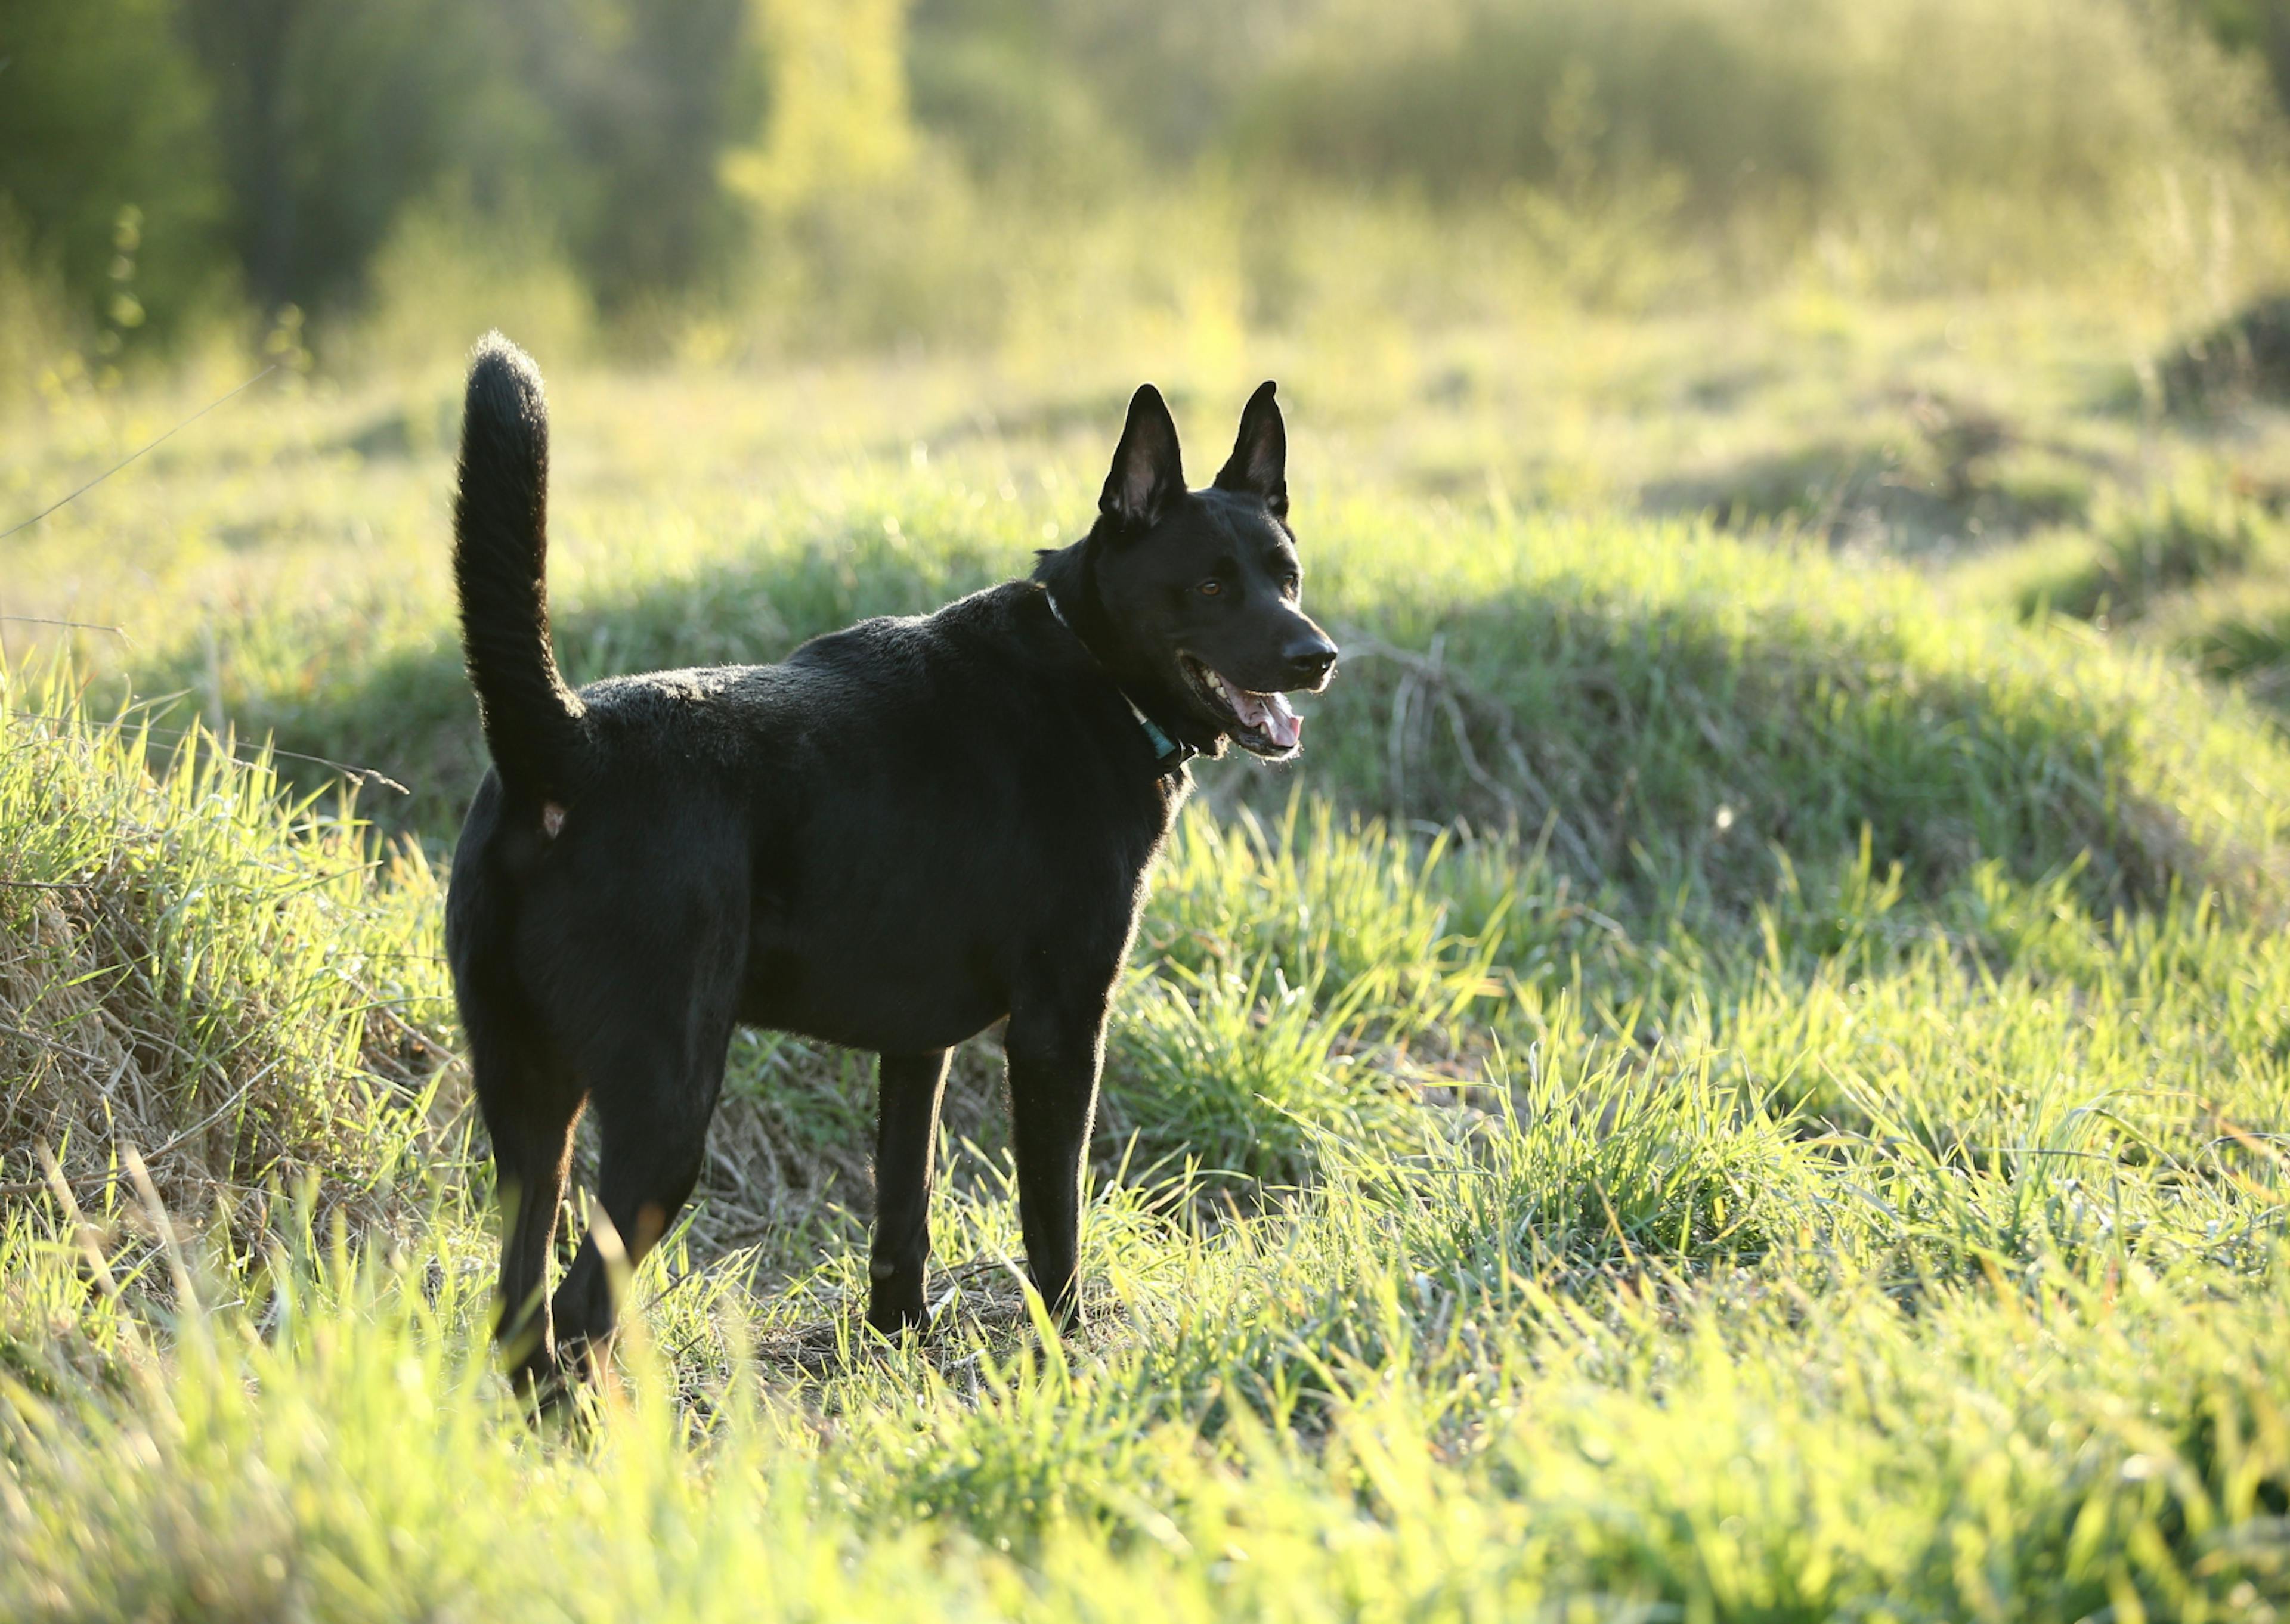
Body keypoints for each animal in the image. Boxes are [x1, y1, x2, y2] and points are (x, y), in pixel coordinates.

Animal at [444, 332, 1337, 1392]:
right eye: (1209, 586)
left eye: (1287, 574)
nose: (1318, 655)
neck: (1090, 667)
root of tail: (565, 741)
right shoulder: (1058, 1030)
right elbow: (1054, 1221)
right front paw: (1064, 1354)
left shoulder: (917, 1046)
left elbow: (902, 1211)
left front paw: (901, 1346)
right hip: (664, 1112)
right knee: (581, 1310)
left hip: (527, 1111)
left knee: (521, 1307)